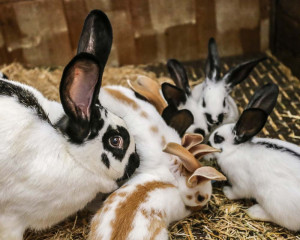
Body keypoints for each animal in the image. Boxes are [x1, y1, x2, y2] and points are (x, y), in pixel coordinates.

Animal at [207, 82, 300, 231]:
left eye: (218, 138)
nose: (207, 143)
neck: (237, 149)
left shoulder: (240, 182)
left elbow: (237, 192)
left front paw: (226, 191)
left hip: (275, 202)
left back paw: (254, 211)